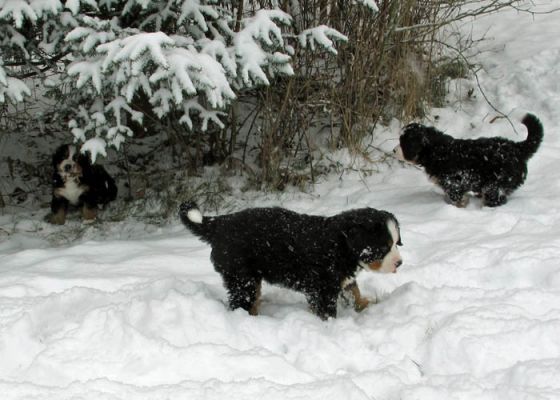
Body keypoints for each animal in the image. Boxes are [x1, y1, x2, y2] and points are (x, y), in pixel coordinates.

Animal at [179, 203, 402, 318]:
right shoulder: (322, 288)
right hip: (242, 278)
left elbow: (354, 291)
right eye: (383, 247)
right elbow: (328, 310)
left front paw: (365, 304)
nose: (399, 263)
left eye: (396, 243)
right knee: (241, 302)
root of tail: (219, 223)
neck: (341, 244)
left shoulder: (342, 278)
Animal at [394, 112, 544, 206]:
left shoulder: (453, 184)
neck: (434, 150)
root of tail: (517, 148)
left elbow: (456, 199)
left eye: (403, 143)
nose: (394, 151)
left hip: (495, 184)